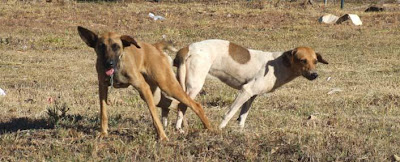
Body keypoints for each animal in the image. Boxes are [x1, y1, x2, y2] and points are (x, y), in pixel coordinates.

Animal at [76, 26, 211, 140]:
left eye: (116, 46)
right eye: (101, 46)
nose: (109, 63)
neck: (117, 67)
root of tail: (155, 47)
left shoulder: (143, 88)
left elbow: (154, 117)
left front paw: (163, 137)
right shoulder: (103, 87)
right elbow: (103, 112)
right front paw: (103, 133)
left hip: (167, 85)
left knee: (195, 105)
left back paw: (209, 128)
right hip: (155, 96)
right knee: (176, 104)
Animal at [173, 39, 328, 130]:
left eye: (315, 61)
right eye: (303, 60)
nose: (315, 75)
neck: (280, 64)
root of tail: (187, 48)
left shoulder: (251, 96)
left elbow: (242, 117)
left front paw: (239, 132)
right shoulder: (245, 91)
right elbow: (229, 114)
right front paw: (220, 130)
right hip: (194, 86)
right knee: (182, 105)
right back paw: (178, 129)